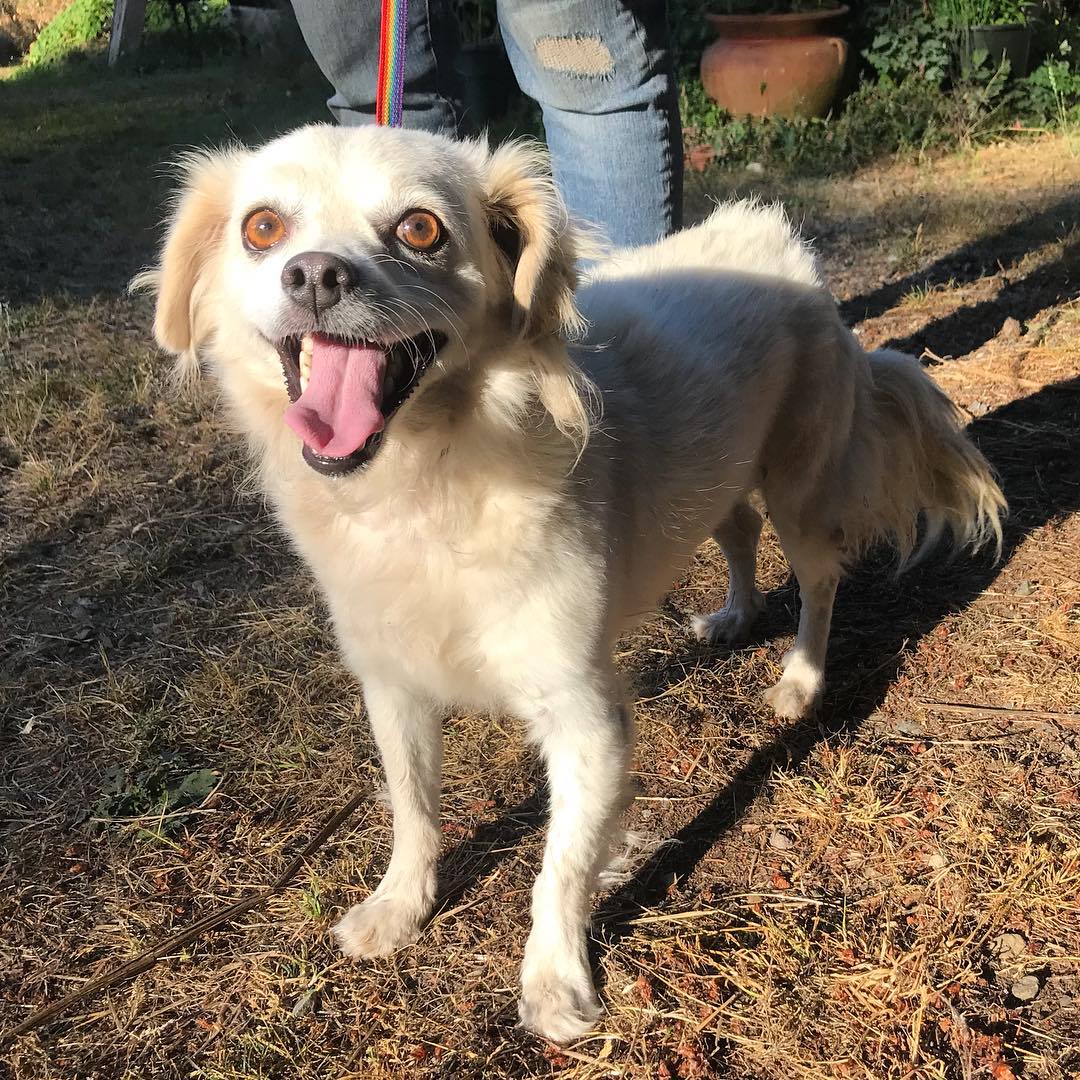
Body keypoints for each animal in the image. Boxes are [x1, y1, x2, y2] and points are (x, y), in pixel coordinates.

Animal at [139, 122, 1006, 1041]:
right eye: (263, 227)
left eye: (420, 229)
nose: (314, 275)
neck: (427, 482)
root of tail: (776, 235)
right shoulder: (393, 686)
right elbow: (413, 808)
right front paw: (399, 907)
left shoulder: (587, 718)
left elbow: (557, 867)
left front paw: (554, 983)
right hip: (717, 481)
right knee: (738, 534)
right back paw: (732, 617)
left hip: (800, 490)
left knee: (819, 582)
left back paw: (800, 682)